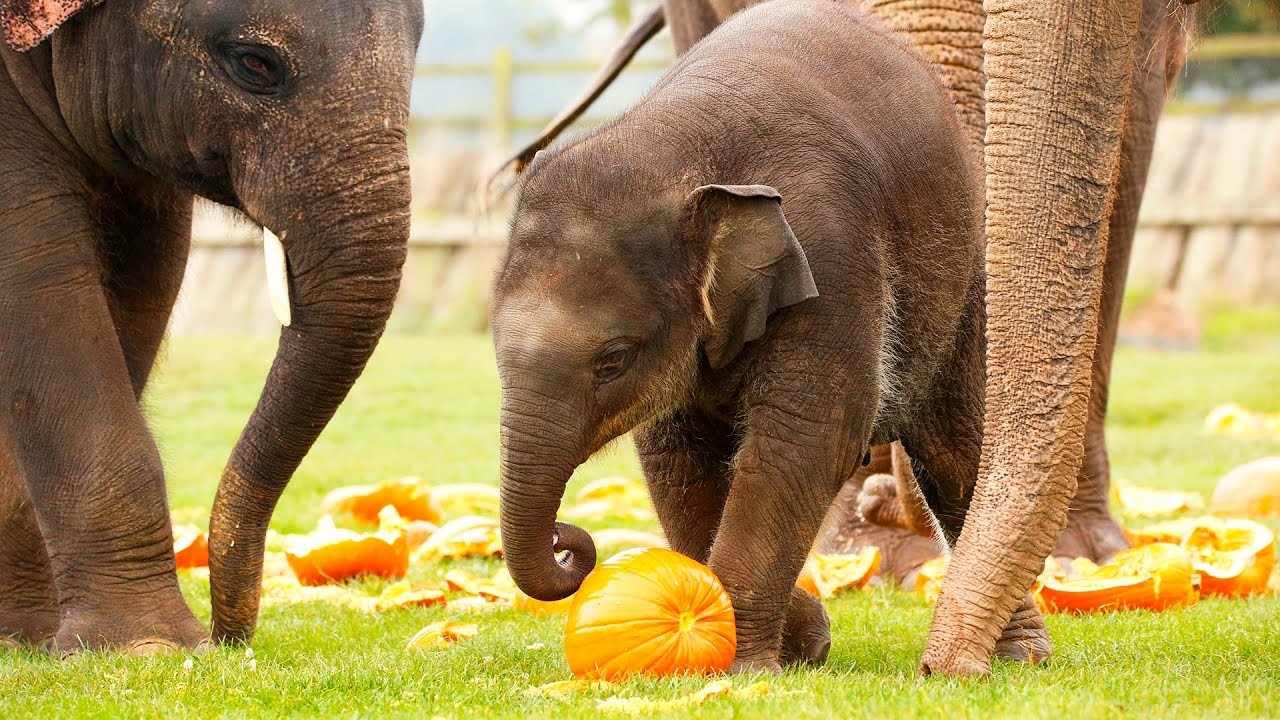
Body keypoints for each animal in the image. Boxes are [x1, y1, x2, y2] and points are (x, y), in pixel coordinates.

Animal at [0, 0, 423, 652]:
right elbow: (39, 283)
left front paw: (30, 637)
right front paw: (146, 648)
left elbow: (148, 278)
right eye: (255, 62)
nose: (229, 636)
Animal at [496, 0, 1197, 675]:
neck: (671, 141)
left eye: (612, 360)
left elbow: (807, 439)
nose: (569, 541)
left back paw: (1017, 656)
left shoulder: (830, 252)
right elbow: (677, 459)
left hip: (962, 289)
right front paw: (797, 640)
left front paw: (746, 665)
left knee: (955, 460)